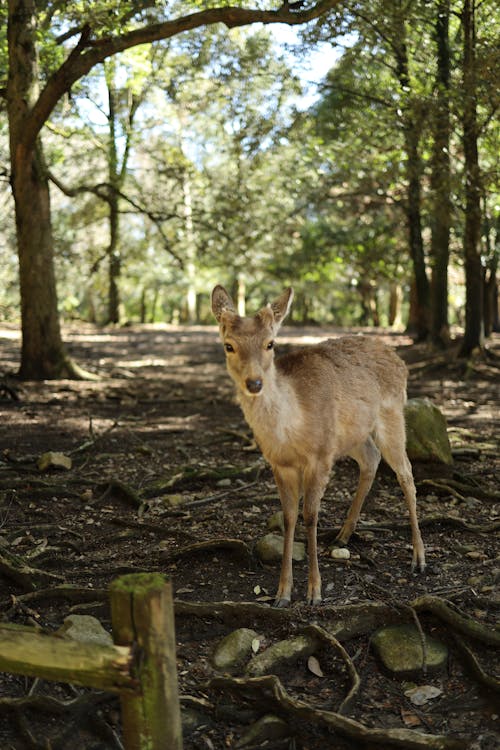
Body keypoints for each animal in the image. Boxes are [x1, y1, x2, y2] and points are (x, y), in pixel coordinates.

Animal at [211, 284, 426, 608]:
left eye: (271, 344)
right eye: (228, 346)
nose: (255, 383)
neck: (292, 430)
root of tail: (399, 360)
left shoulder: (321, 456)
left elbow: (310, 516)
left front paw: (315, 591)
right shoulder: (280, 464)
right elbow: (289, 518)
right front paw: (282, 593)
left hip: (392, 416)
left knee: (407, 474)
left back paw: (419, 557)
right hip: (352, 435)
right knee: (371, 459)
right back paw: (342, 536)